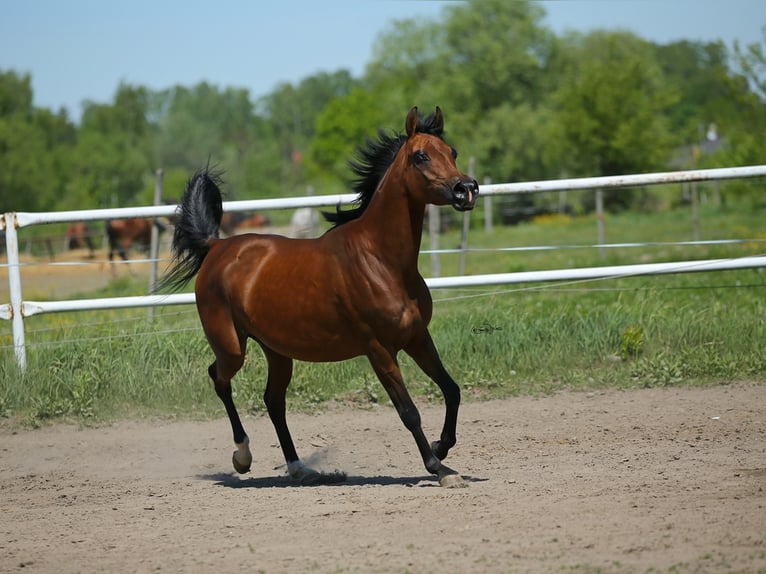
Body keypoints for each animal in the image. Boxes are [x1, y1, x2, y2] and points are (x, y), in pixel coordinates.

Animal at [159, 106, 476, 488]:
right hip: (232, 346)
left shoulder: (417, 337)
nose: (465, 189)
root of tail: (217, 246)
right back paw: (242, 457)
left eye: (453, 153)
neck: (382, 262)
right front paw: (439, 469)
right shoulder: (379, 350)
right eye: (421, 156)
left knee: (273, 400)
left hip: (278, 351)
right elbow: (409, 412)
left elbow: (452, 389)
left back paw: (299, 468)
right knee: (219, 379)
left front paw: (443, 447)